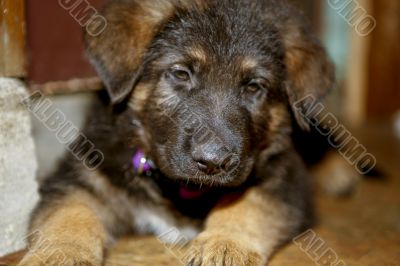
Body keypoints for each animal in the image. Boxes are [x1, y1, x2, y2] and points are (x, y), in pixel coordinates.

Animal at [20, 1, 334, 264]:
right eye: (181, 74)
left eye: (254, 87)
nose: (213, 162)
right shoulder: (83, 176)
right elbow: (69, 213)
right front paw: (59, 254)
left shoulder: (284, 177)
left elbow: (248, 203)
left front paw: (224, 244)